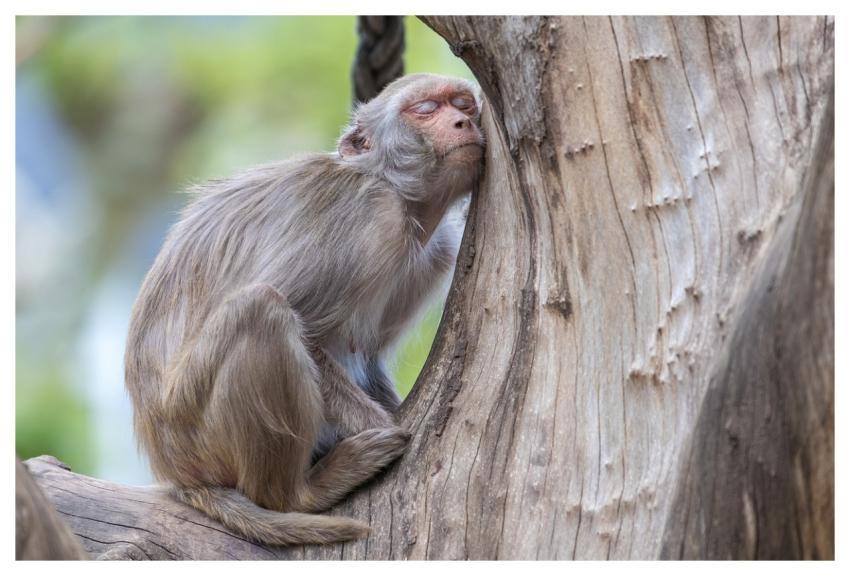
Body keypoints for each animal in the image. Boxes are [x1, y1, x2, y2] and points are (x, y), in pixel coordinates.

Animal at [124, 73, 484, 546]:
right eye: (425, 110)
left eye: (463, 105)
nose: (463, 122)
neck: (397, 194)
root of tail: (175, 472)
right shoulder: (367, 216)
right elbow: (308, 331)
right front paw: (384, 426)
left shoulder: (436, 251)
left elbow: (366, 354)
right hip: (195, 427)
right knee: (261, 310)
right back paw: (298, 494)